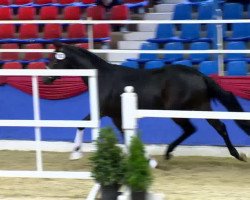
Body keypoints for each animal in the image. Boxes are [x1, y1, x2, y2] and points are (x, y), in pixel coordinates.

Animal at [43, 43, 250, 162]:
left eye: (56, 60)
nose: (45, 79)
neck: (102, 78)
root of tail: (199, 75)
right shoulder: (117, 116)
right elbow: (126, 136)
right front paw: (147, 159)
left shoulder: (101, 111)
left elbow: (81, 124)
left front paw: (75, 152)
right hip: (200, 106)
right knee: (217, 127)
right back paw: (236, 154)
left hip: (179, 111)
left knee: (193, 129)